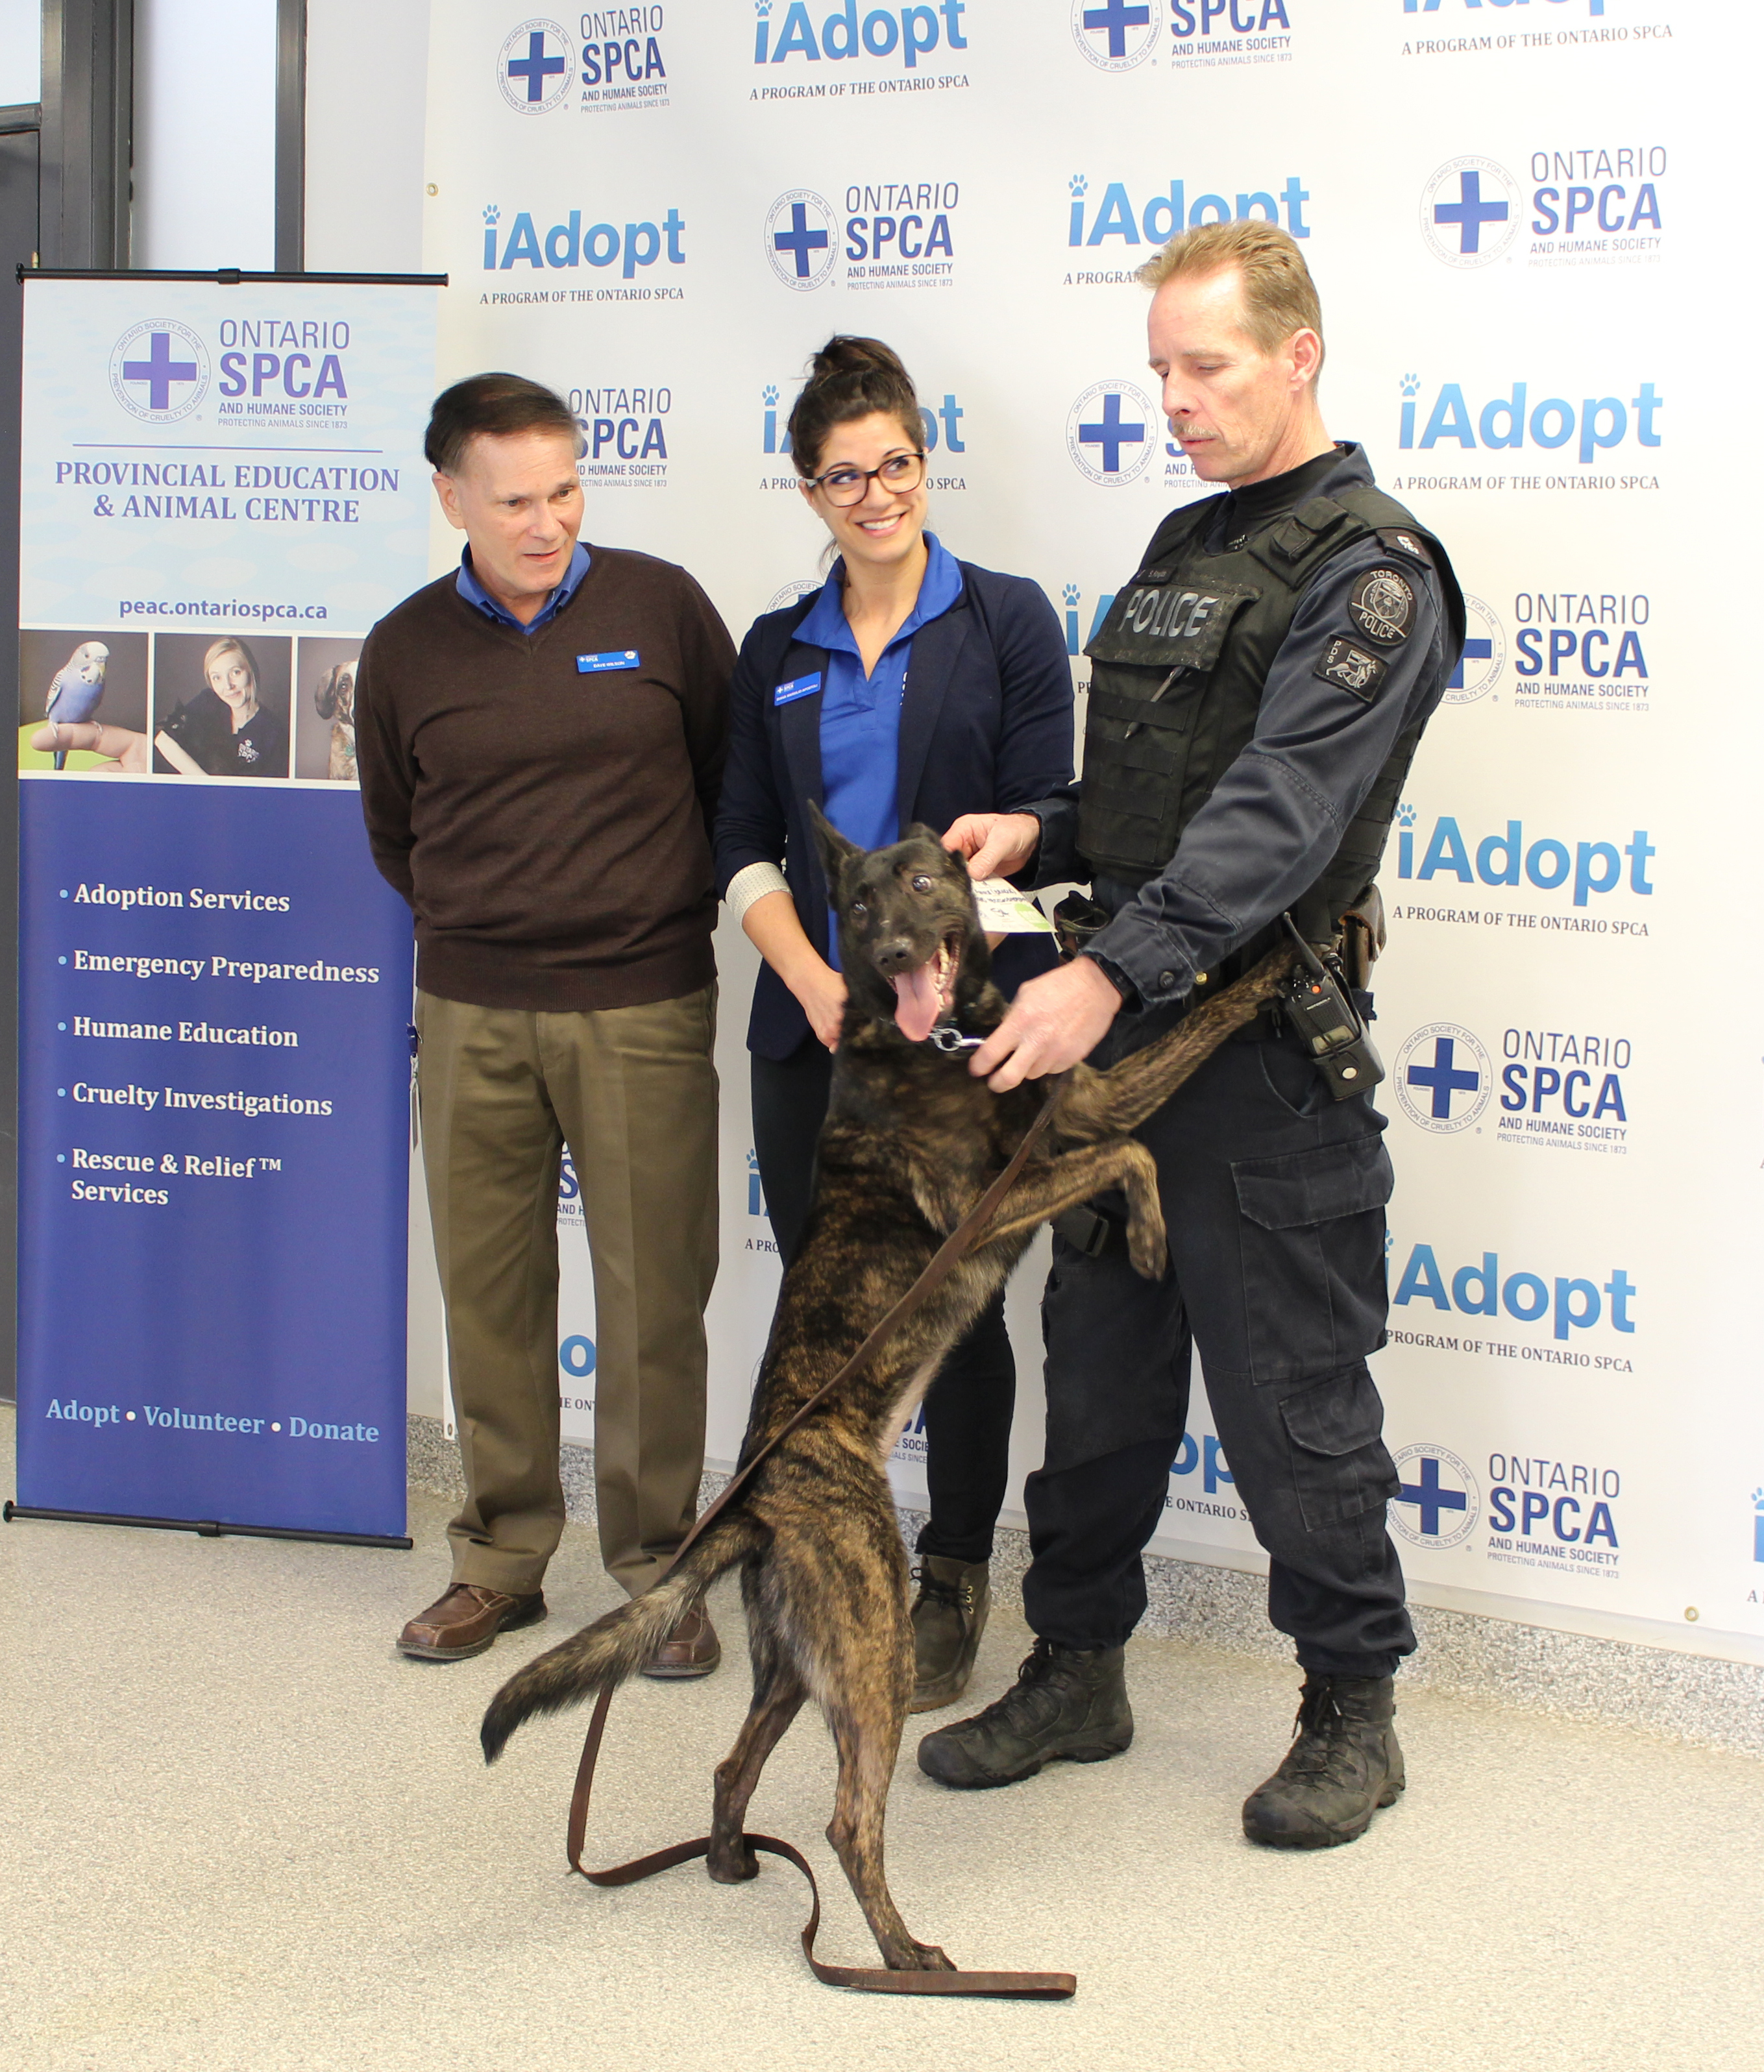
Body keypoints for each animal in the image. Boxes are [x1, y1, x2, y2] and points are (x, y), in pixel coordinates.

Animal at [483, 808, 1293, 1972]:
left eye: (920, 882)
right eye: (858, 907)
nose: (900, 952)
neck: (931, 1038)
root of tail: (761, 1501)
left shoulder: (1078, 1098)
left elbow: (1167, 1073)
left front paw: (1270, 971)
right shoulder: (1004, 1188)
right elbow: (1133, 1150)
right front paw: (1147, 1231)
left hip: (797, 1662)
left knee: (733, 1766)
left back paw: (734, 1864)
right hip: (870, 1639)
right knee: (844, 1816)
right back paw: (902, 1956)